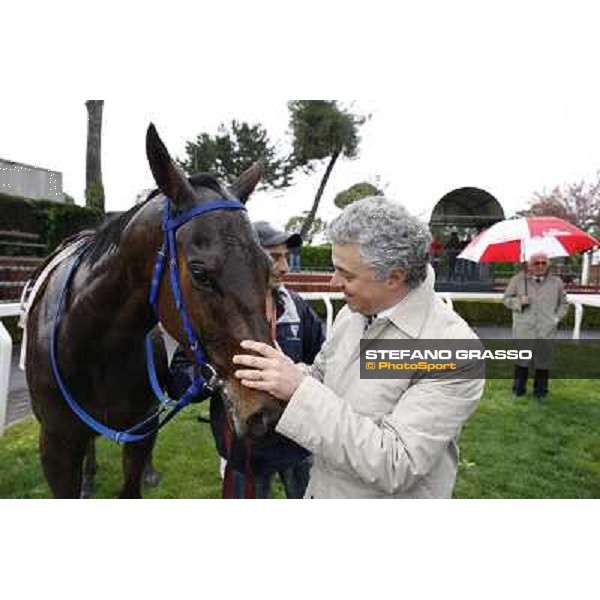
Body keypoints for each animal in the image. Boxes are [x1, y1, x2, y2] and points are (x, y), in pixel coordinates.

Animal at [24, 124, 282, 500]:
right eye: (200, 273)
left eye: (267, 269)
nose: (267, 411)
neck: (92, 345)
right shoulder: (56, 447)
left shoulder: (139, 433)